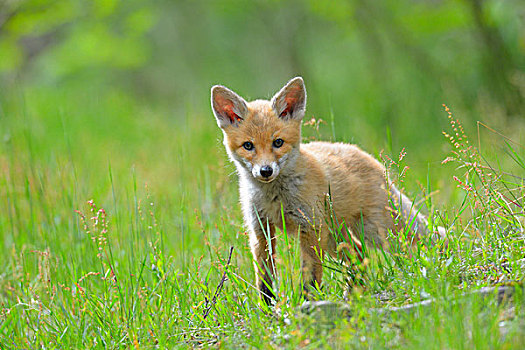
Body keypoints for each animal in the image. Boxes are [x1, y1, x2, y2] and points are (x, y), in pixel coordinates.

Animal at [211, 76, 444, 304]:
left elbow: (310, 276)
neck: (275, 199)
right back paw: (356, 294)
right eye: (248, 146)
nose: (265, 171)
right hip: (338, 240)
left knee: (420, 242)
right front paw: (269, 309)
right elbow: (265, 280)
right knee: (361, 258)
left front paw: (307, 305)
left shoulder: (310, 228)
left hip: (381, 233)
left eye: (278, 142)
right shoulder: (261, 229)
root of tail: (372, 160)